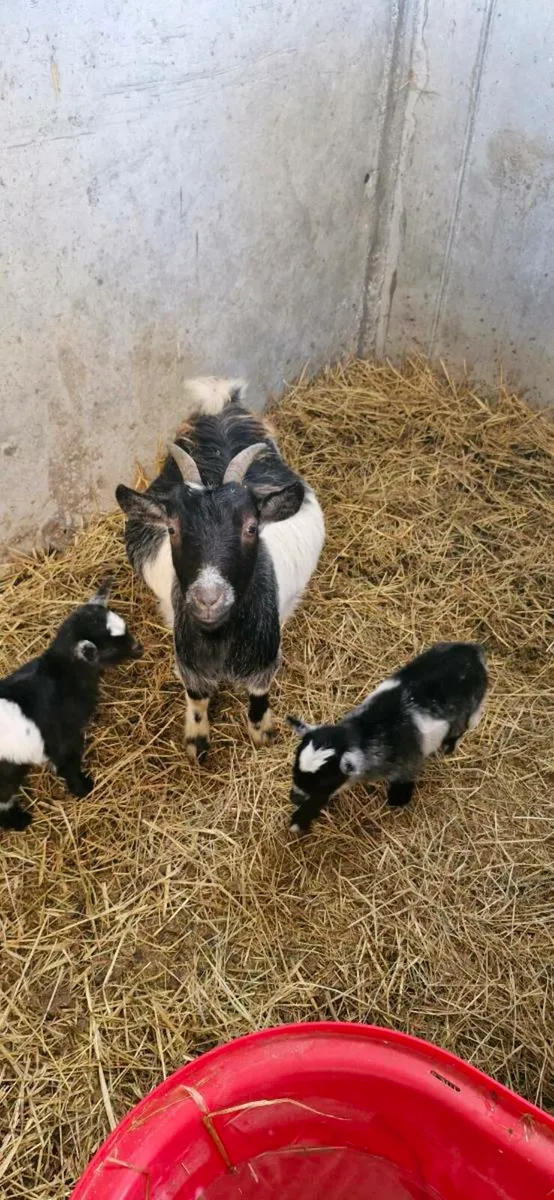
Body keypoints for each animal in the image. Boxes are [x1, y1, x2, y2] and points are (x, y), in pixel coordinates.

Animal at [0, 580, 143, 831]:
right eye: (110, 648)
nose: (139, 648)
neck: (61, 674)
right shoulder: (63, 737)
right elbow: (67, 763)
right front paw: (82, 788)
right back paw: (19, 821)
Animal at [115, 378, 325, 760]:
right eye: (172, 529)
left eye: (252, 527)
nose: (208, 598)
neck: (219, 640)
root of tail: (222, 408)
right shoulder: (189, 660)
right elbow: (197, 697)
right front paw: (197, 743)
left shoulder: (263, 658)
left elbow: (258, 696)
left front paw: (262, 734)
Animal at [287, 642, 488, 833]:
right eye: (294, 768)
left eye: (324, 781)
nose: (294, 798)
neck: (366, 732)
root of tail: (473, 651)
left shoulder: (408, 762)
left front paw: (398, 800)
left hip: (468, 707)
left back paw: (449, 745)